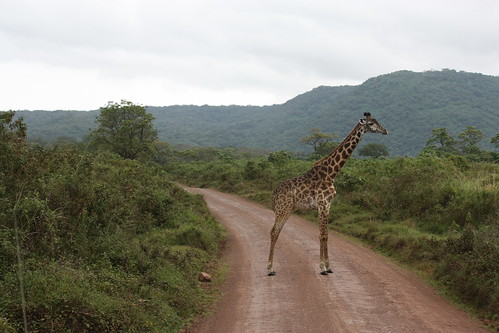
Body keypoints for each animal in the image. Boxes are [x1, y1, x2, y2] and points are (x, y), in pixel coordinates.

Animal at [268, 112, 388, 274]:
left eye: (376, 121)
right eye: (370, 124)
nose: (385, 131)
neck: (331, 173)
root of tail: (274, 193)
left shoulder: (328, 205)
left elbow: (326, 235)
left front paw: (328, 266)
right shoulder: (322, 204)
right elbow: (322, 235)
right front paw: (323, 267)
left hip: (288, 208)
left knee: (277, 231)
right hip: (283, 208)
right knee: (274, 231)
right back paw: (269, 269)